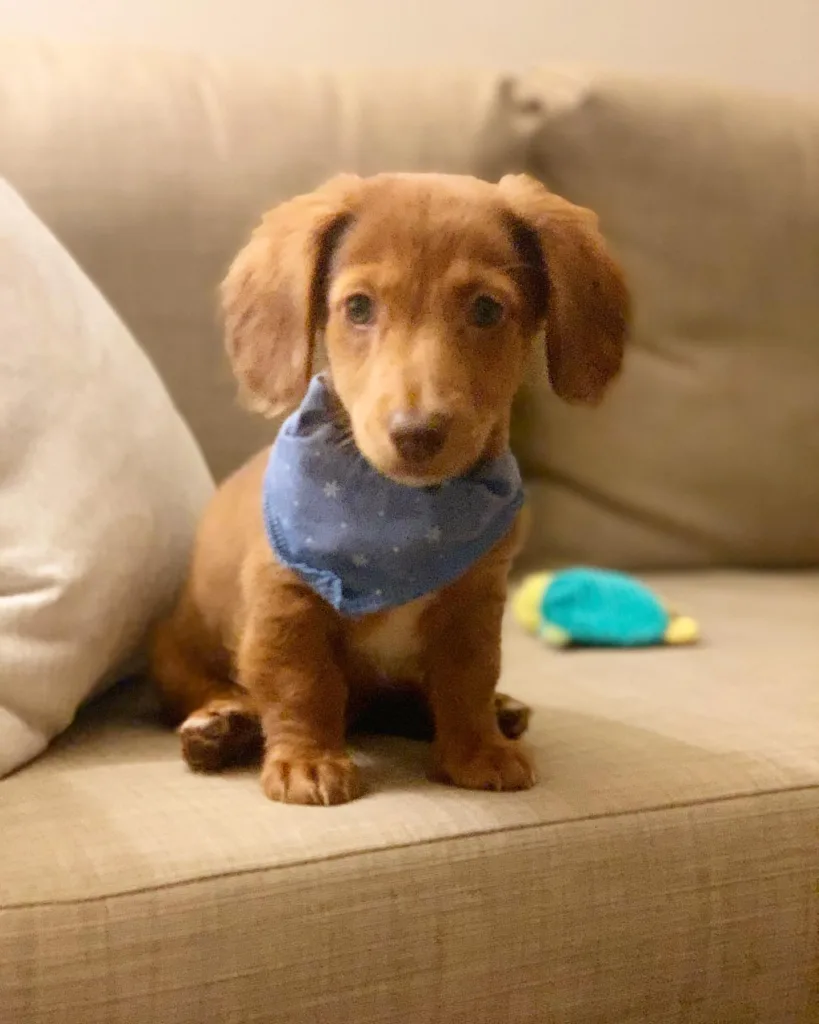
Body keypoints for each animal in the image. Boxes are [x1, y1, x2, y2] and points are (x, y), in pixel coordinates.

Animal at [151, 172, 626, 802]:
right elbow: (302, 684)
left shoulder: (475, 602)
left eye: (486, 309)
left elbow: (468, 680)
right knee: (216, 691)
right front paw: (307, 762)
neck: (399, 516)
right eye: (358, 307)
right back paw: (221, 726)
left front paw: (476, 749)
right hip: (173, 654)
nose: (416, 434)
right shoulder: (286, 602)